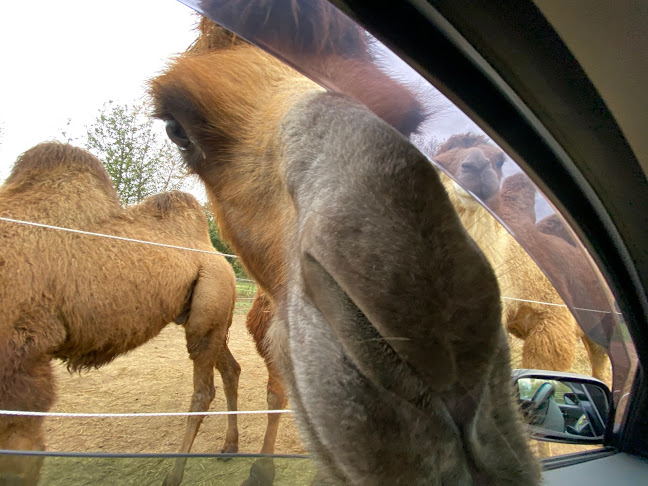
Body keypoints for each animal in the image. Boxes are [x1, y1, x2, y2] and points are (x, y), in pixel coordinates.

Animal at [0, 143, 240, 486]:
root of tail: (217, 254)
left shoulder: (22, 358)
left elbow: (22, 458)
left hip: (210, 304)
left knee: (203, 391)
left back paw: (174, 475)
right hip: (210, 317)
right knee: (230, 369)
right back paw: (230, 446)